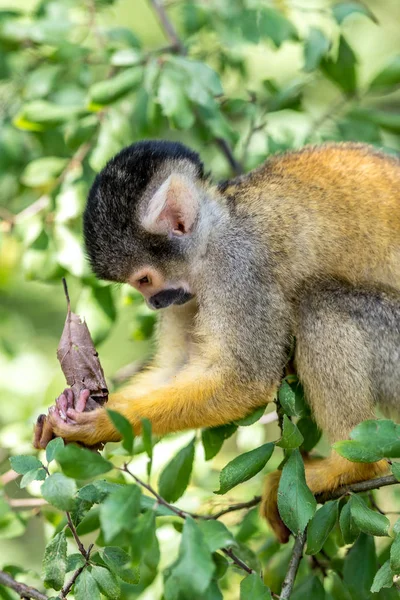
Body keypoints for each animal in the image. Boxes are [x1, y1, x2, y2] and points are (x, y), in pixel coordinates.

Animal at [34, 141, 400, 544]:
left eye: (144, 280)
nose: (153, 303)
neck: (217, 231)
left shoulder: (238, 268)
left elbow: (245, 379)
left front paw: (97, 425)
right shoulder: (186, 291)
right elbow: (176, 366)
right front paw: (72, 408)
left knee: (320, 305)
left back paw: (355, 467)